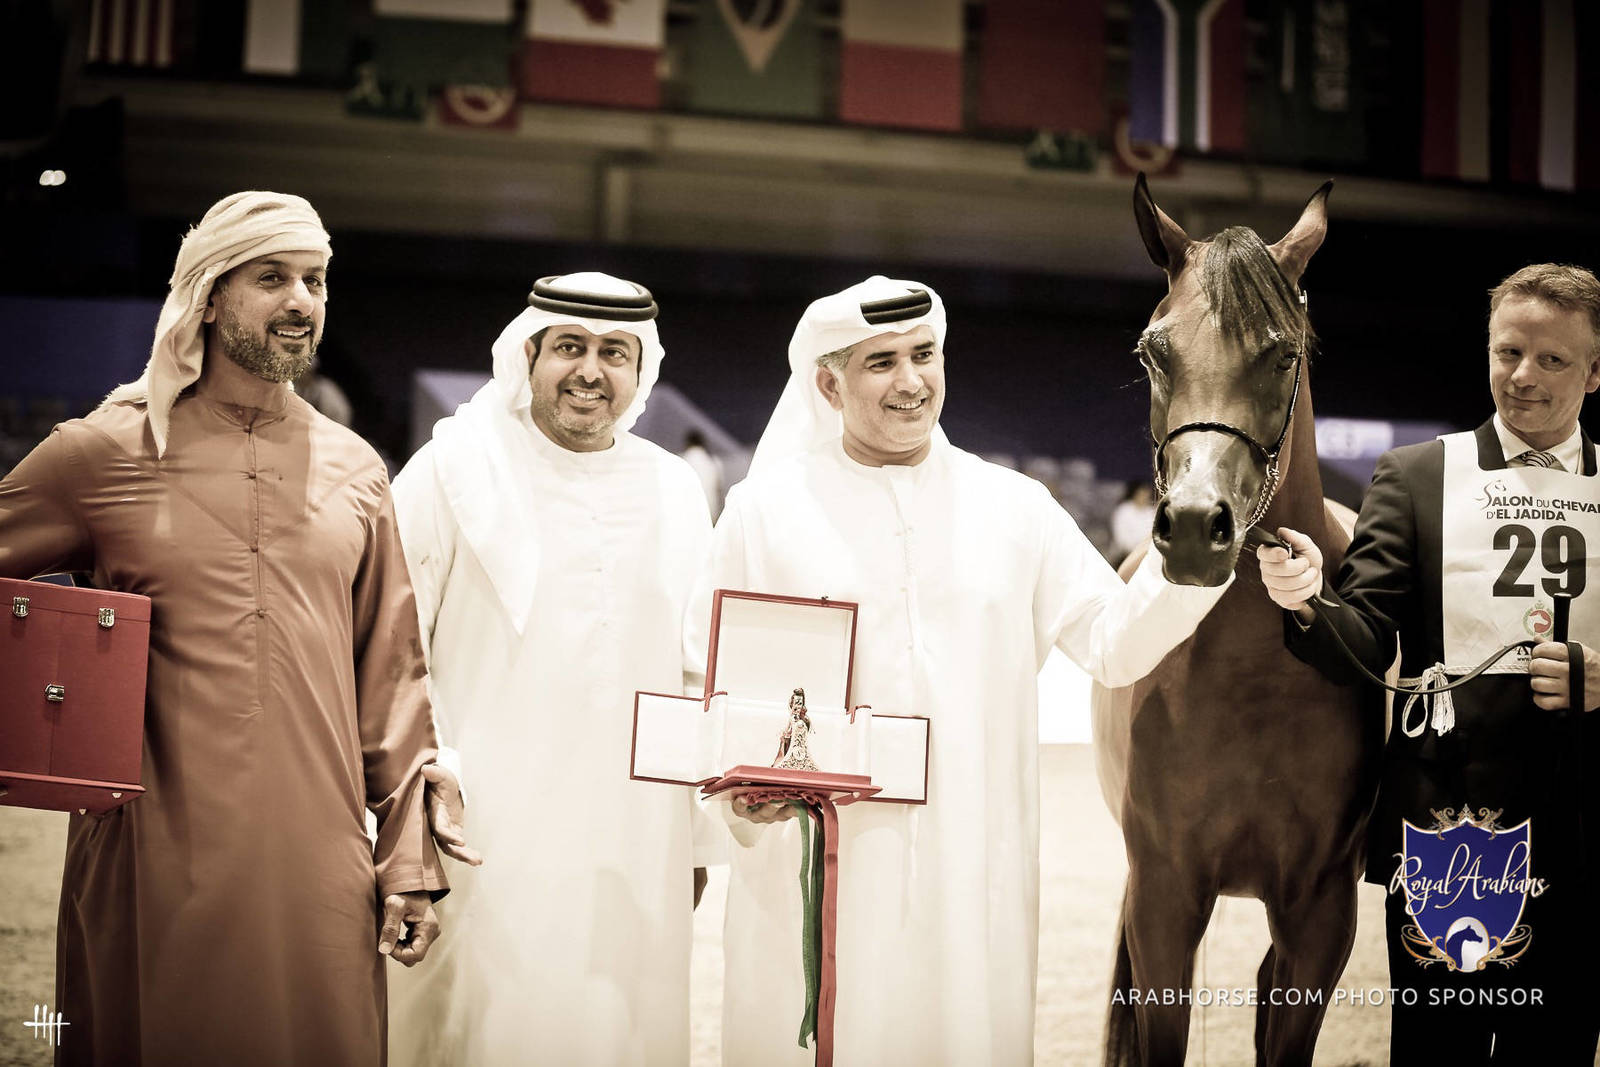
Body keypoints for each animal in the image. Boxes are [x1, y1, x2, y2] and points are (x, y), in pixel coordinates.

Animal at [1093, 175, 1383, 1066]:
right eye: (1151, 352)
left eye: (1283, 354)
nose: (1194, 526)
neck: (1250, 677)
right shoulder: (1163, 898)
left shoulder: (1320, 913)